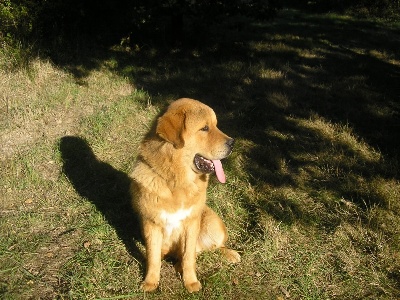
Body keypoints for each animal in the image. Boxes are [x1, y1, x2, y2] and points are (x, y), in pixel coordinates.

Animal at [130, 98, 239, 292]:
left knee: (208, 248)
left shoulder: (191, 223)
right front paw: (150, 282)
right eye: (205, 128)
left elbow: (189, 257)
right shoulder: (152, 225)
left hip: (213, 224)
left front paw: (191, 282)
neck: (176, 182)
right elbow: (153, 258)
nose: (233, 143)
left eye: (215, 125)